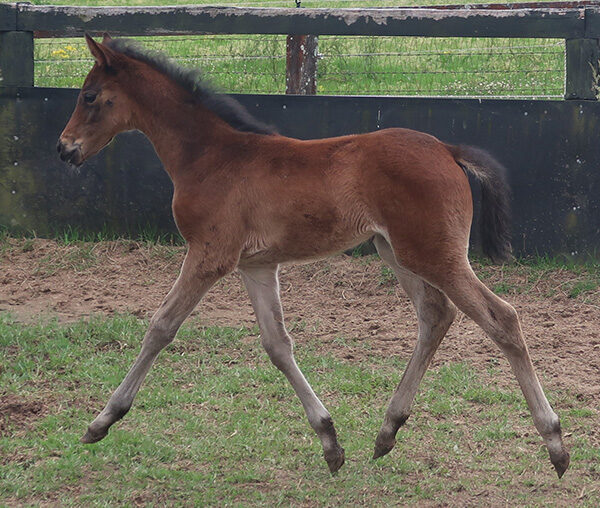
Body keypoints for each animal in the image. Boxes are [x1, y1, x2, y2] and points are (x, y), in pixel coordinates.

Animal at [58, 34, 568, 476]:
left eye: (89, 95)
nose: (65, 149)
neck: (211, 156)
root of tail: (447, 148)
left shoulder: (209, 255)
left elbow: (161, 327)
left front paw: (102, 421)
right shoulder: (256, 265)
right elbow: (277, 344)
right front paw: (329, 440)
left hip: (434, 254)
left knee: (501, 317)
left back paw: (556, 443)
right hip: (395, 252)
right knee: (435, 315)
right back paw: (387, 431)